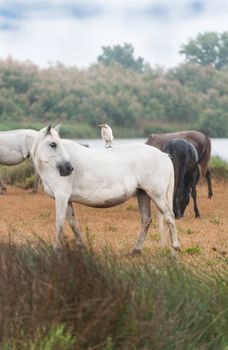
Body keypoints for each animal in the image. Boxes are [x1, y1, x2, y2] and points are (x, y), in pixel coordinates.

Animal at [31, 126, 180, 254]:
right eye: (53, 144)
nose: (68, 168)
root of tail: (163, 155)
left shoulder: (61, 196)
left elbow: (59, 223)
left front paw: (56, 249)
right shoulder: (67, 200)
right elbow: (73, 224)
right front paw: (81, 247)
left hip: (157, 195)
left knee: (169, 217)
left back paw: (175, 250)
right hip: (143, 194)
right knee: (146, 220)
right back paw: (135, 250)